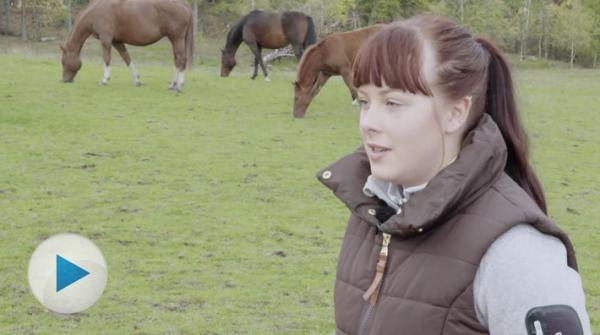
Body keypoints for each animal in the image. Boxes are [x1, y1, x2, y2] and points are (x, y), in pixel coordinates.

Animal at [60, 0, 192, 92]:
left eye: (63, 62)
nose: (64, 80)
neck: (96, 12)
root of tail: (183, 4)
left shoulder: (106, 40)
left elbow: (107, 59)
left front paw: (104, 80)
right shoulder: (117, 42)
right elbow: (127, 58)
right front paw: (137, 80)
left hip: (176, 38)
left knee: (181, 59)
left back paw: (179, 85)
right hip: (176, 40)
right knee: (177, 59)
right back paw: (172, 84)